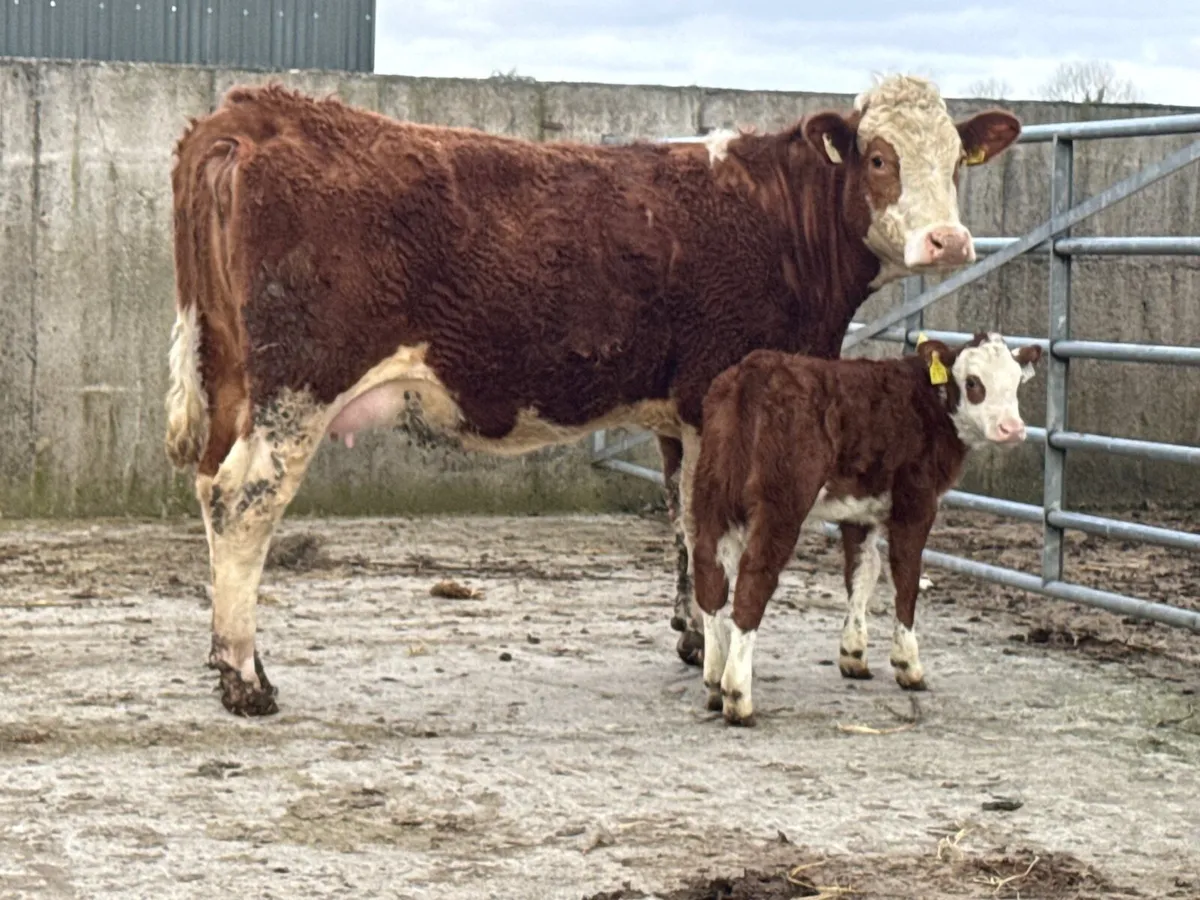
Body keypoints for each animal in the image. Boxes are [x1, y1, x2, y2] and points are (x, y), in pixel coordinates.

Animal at [689, 333, 1042, 726]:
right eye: (973, 383)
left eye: (1016, 381)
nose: (1012, 429)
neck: (927, 402)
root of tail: (755, 369)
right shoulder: (916, 501)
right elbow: (906, 575)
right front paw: (908, 665)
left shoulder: (858, 510)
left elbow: (862, 571)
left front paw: (853, 654)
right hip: (781, 502)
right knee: (754, 580)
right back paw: (737, 696)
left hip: (712, 493)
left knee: (709, 572)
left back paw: (713, 682)